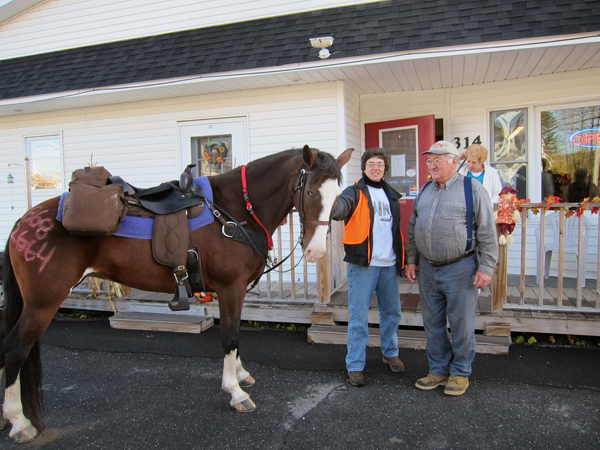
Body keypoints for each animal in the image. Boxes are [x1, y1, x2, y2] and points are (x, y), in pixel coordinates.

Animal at [0, 145, 354, 442]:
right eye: (310, 191)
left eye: (338, 195)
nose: (316, 250)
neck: (235, 210)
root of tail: (24, 222)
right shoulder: (230, 288)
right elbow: (229, 337)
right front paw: (235, 392)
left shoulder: (236, 291)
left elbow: (236, 335)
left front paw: (241, 375)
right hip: (42, 304)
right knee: (15, 350)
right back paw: (19, 421)